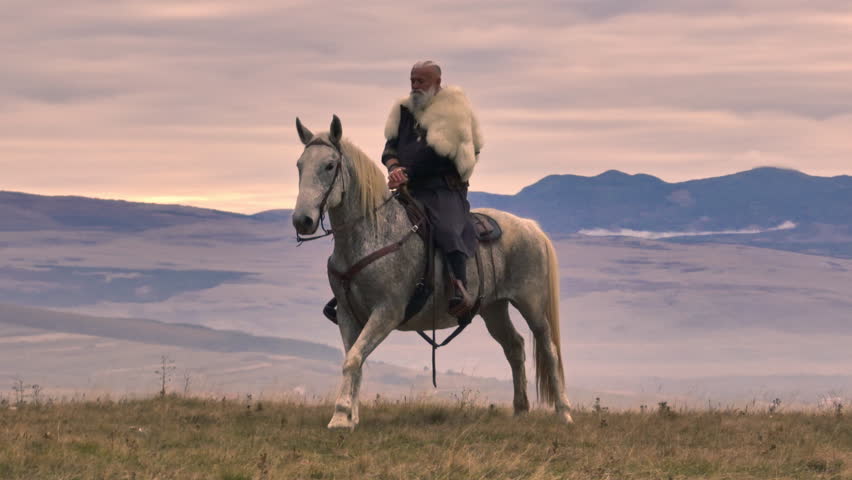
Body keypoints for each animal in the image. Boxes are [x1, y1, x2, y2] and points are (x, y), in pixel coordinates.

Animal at [292, 115, 573, 430]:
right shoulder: (348, 313)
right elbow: (355, 359)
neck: (373, 234)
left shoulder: (386, 312)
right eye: (300, 165)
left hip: (531, 303)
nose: (302, 220)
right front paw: (350, 416)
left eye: (330, 165)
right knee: (514, 347)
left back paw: (564, 412)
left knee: (548, 349)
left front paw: (341, 416)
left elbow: (352, 359)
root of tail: (530, 226)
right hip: (493, 308)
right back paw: (520, 409)